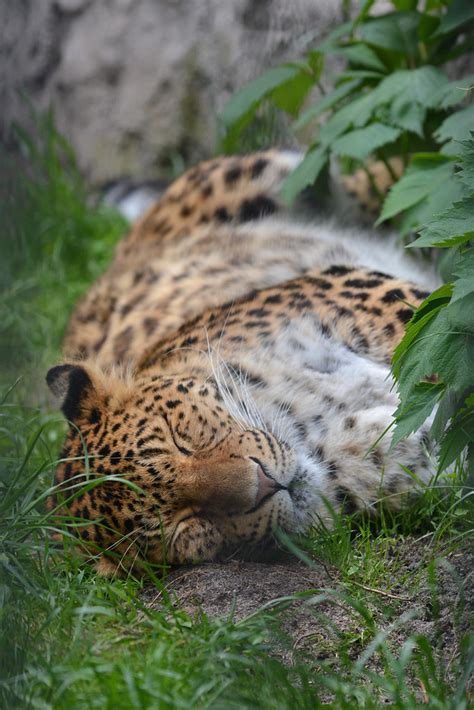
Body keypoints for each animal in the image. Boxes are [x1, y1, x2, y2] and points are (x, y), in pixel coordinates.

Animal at [46, 150, 438, 580]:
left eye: (179, 439)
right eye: (187, 524)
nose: (265, 484)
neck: (303, 423)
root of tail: (119, 255)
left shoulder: (367, 302)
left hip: (266, 170)